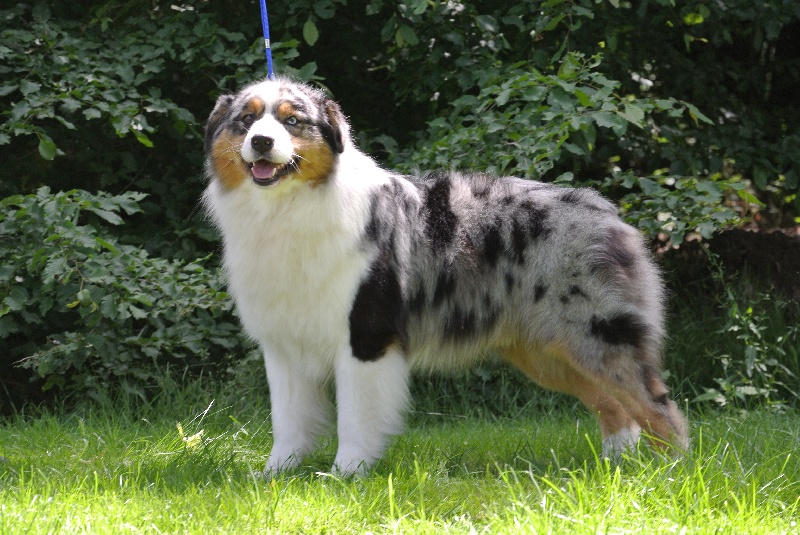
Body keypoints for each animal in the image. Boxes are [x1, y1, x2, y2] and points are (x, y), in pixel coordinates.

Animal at [202, 77, 688, 476]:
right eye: (246, 119)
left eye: (294, 120)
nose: (262, 141)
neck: (286, 209)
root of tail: (607, 212)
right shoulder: (284, 343)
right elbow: (288, 421)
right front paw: (275, 475)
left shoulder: (366, 334)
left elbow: (356, 416)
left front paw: (346, 474)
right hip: (550, 350)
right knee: (616, 410)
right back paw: (613, 471)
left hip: (599, 333)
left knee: (659, 408)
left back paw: (669, 475)